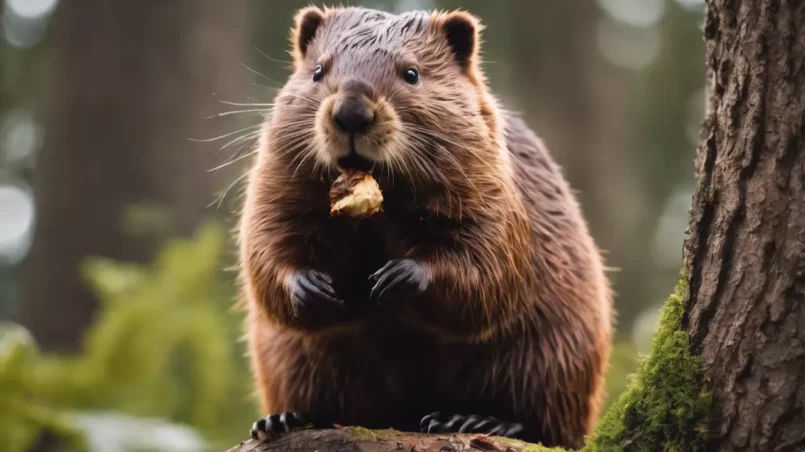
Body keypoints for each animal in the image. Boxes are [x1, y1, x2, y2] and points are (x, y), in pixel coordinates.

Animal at [236, 5, 612, 450]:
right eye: (317, 70)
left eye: (411, 73)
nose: (351, 114)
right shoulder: (278, 168)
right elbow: (266, 240)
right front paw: (311, 287)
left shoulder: (495, 181)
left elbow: (488, 263)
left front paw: (397, 277)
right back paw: (281, 419)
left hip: (554, 350)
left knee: (544, 422)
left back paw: (472, 420)